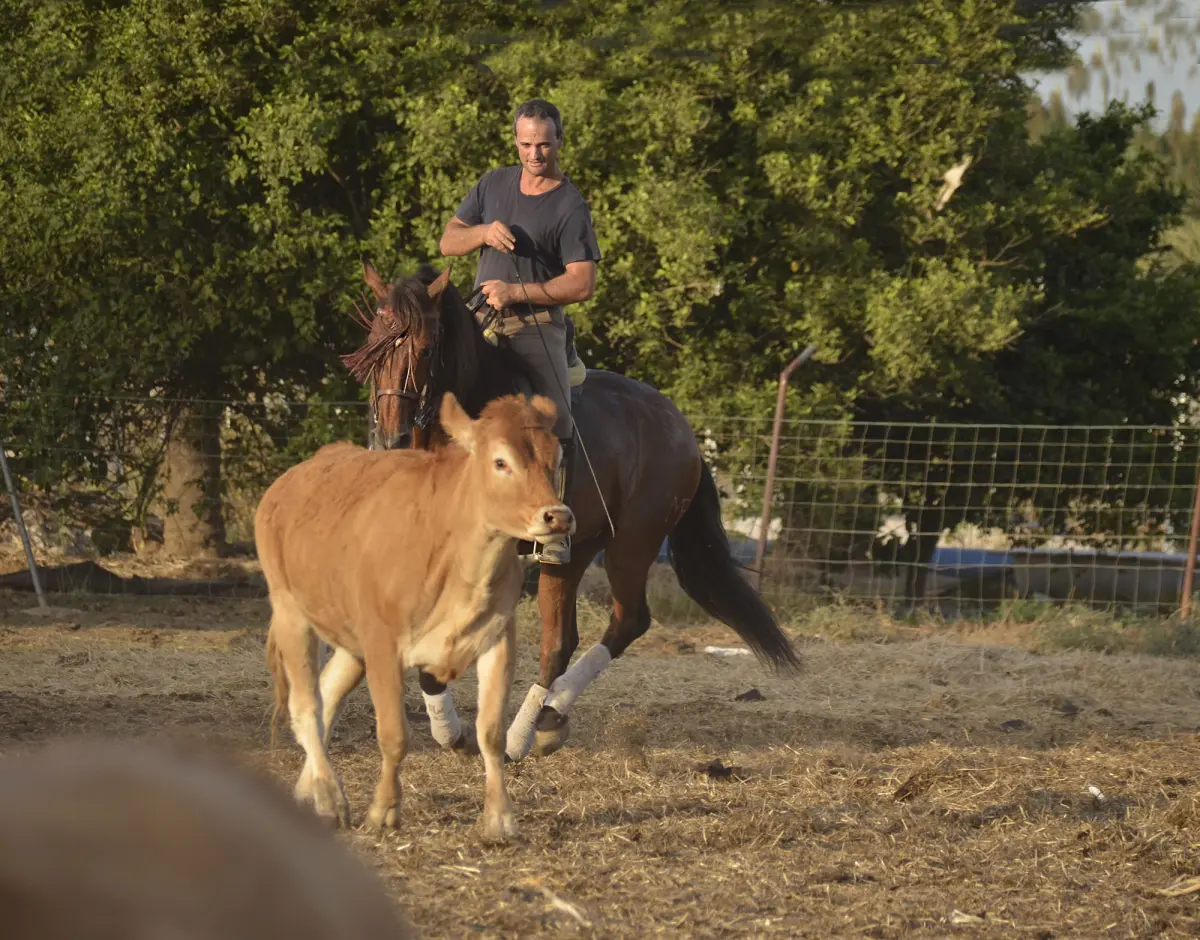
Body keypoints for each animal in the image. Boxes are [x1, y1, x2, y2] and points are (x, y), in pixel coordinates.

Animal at [337, 261, 801, 761]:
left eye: (423, 349)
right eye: (369, 349)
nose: (392, 439)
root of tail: (683, 431)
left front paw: (453, 731)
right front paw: (447, 726)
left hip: (630, 543)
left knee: (619, 623)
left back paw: (527, 731)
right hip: (576, 549)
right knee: (566, 636)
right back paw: (546, 719)